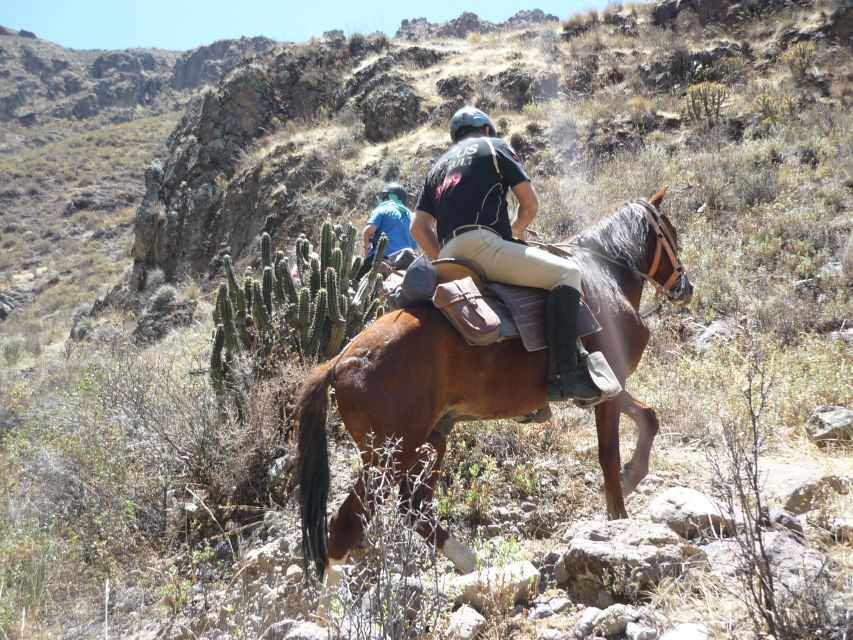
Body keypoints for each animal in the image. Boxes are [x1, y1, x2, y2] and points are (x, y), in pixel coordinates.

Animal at [292, 189, 692, 584]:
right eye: (670, 232)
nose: (685, 287)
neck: (604, 277)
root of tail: (341, 359)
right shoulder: (606, 386)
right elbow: (609, 455)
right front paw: (619, 521)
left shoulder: (609, 384)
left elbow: (648, 417)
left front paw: (632, 476)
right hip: (391, 455)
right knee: (347, 523)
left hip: (429, 440)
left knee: (414, 508)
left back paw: (472, 563)